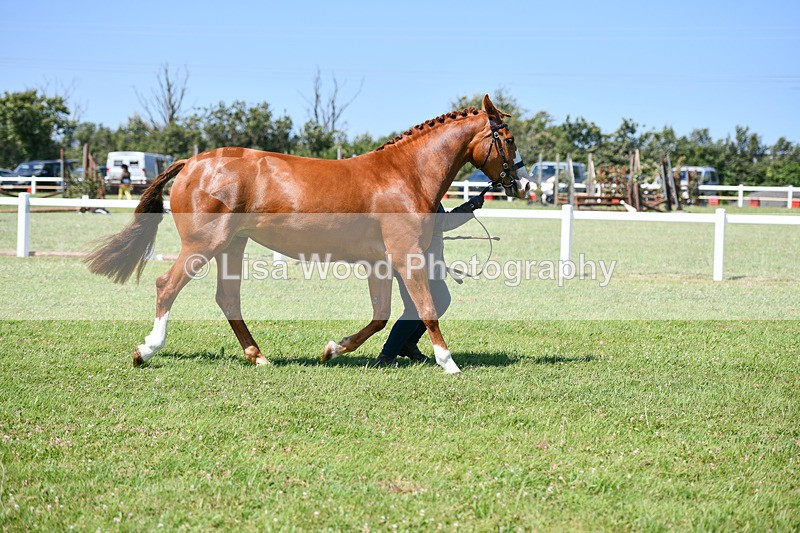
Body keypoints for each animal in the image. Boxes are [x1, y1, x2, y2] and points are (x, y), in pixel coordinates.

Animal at [86, 94, 530, 374]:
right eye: (507, 140)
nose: (522, 184)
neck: (405, 174)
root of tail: (192, 162)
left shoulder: (381, 264)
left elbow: (381, 316)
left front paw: (333, 349)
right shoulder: (408, 257)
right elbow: (426, 308)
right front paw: (448, 363)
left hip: (232, 246)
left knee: (227, 299)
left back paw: (258, 357)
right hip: (203, 245)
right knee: (167, 285)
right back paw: (146, 350)